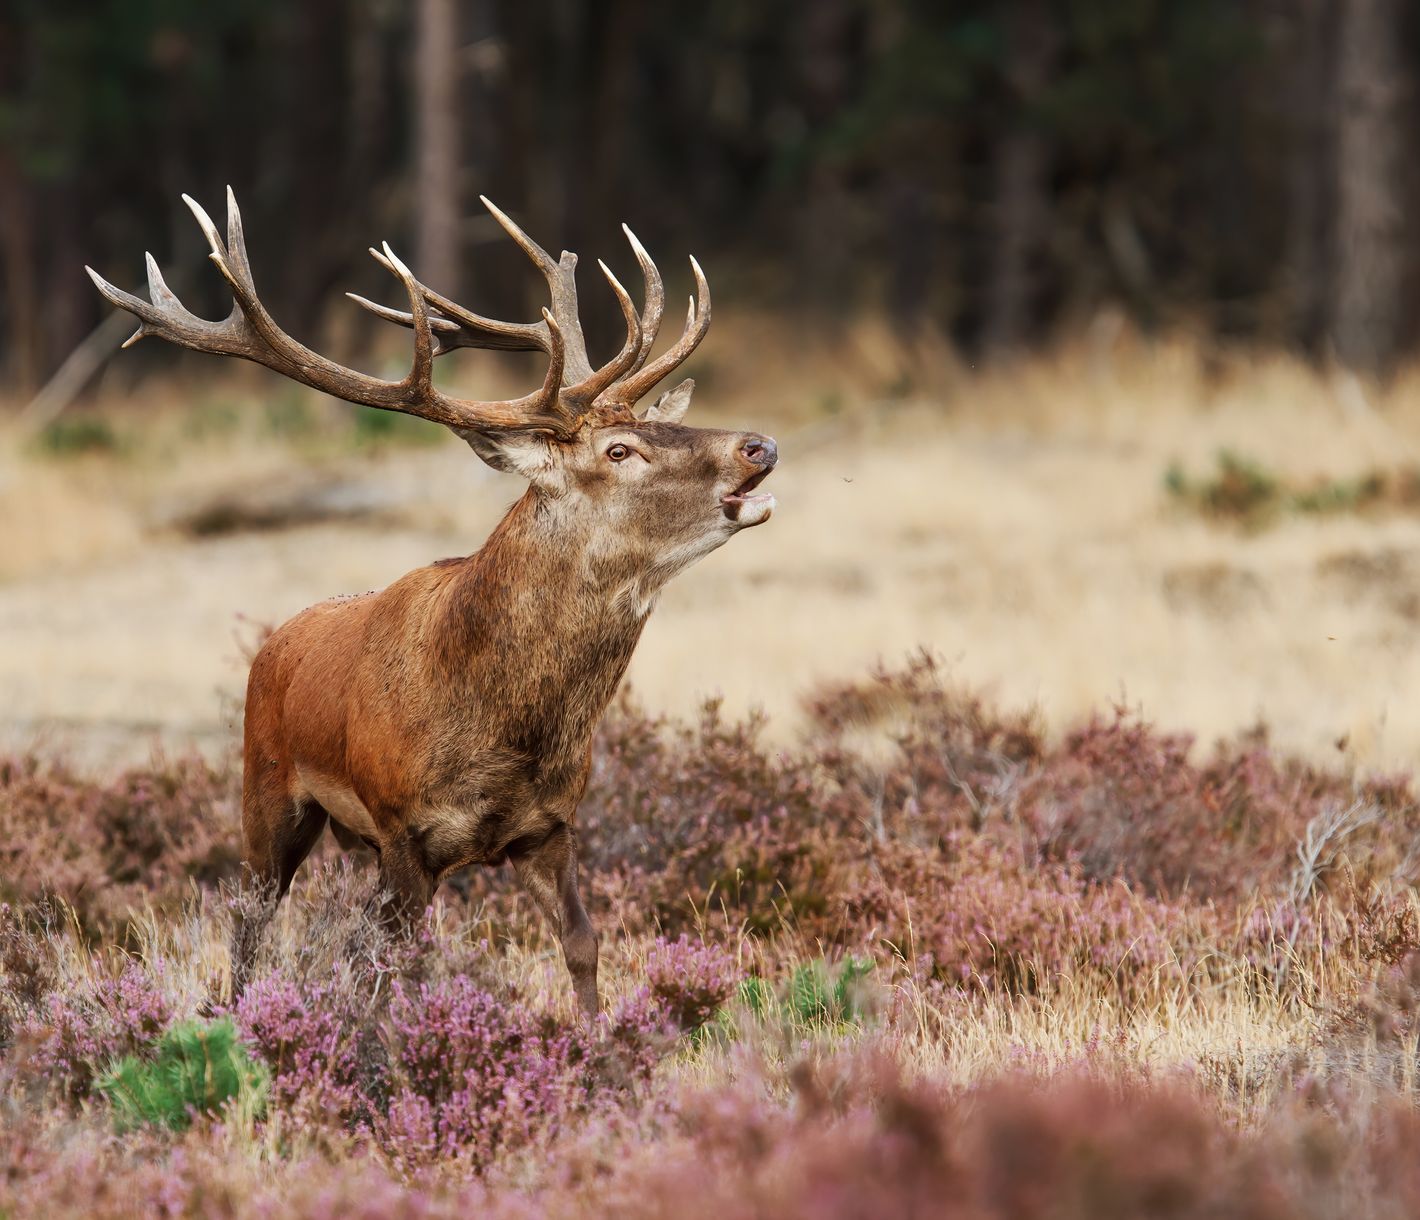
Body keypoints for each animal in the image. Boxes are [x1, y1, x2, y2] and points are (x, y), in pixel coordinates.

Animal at [87, 189, 777, 1019]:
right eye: (619, 451)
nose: (758, 445)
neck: (505, 730)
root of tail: (275, 641)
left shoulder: (550, 827)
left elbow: (582, 944)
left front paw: (598, 1037)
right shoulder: (403, 829)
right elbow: (399, 967)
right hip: (268, 787)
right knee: (250, 918)